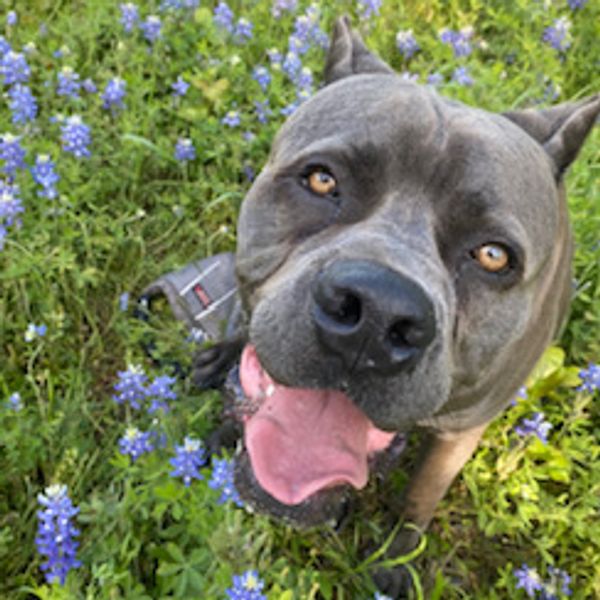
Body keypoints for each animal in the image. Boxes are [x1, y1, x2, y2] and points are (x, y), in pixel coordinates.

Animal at [195, 16, 596, 596]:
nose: (377, 313)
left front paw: (395, 559)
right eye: (322, 179)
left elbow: (420, 496)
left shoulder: (461, 430)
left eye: (494, 255)